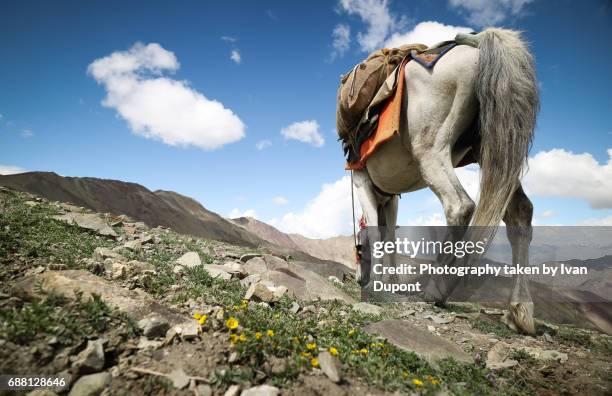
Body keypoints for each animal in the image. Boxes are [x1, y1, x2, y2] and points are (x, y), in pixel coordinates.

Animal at [350, 28, 540, 334]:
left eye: (357, 251)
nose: (357, 277)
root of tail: (477, 46)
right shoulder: (391, 199)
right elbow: (390, 236)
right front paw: (390, 283)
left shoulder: (362, 182)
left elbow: (378, 233)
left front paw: (376, 285)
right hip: (494, 149)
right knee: (520, 214)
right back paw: (519, 311)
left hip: (432, 149)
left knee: (459, 206)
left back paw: (438, 289)